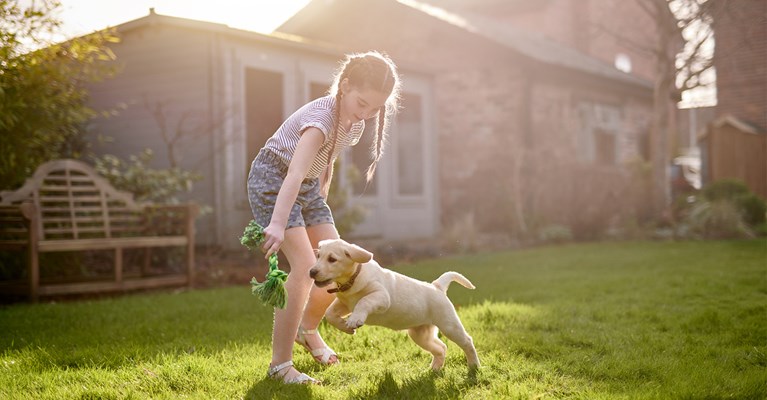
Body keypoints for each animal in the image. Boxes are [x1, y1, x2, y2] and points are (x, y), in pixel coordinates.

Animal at [308, 239, 480, 370]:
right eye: (318, 256)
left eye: (332, 259)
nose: (311, 272)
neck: (351, 281)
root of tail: (437, 286)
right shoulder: (344, 304)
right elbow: (330, 314)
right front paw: (345, 327)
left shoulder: (382, 297)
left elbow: (364, 301)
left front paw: (354, 320)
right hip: (420, 334)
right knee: (441, 348)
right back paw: (435, 370)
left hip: (449, 326)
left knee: (467, 342)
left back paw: (474, 366)